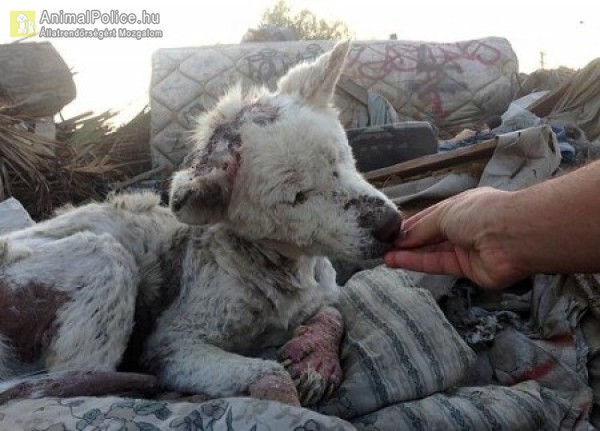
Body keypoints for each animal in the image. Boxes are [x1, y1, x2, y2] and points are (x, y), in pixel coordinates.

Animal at [1, 41, 404, 408]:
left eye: (341, 159)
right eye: (297, 196)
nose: (392, 225)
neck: (278, 266)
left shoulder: (326, 294)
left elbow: (334, 314)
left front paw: (315, 358)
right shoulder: (172, 343)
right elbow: (271, 376)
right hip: (104, 257)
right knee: (71, 377)